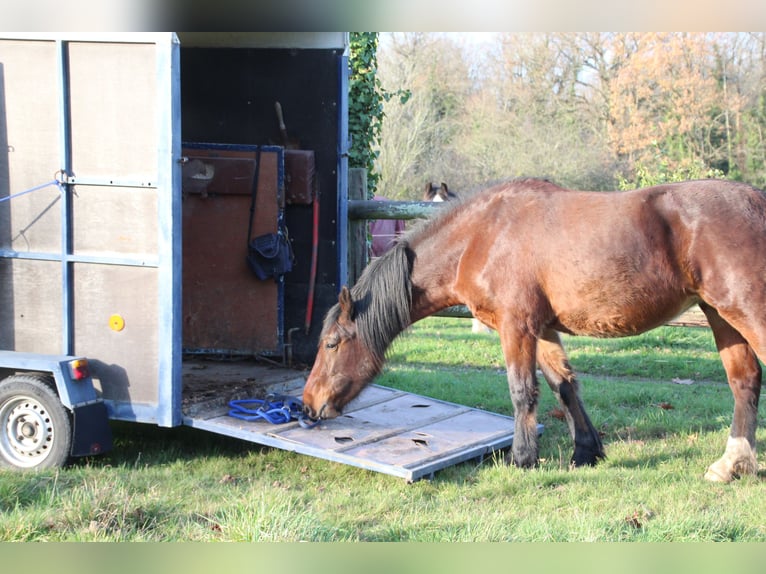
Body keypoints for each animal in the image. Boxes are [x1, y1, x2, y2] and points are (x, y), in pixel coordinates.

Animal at [303, 177, 766, 483]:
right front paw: (586, 452)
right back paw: (733, 465)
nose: (308, 406)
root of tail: (756, 200)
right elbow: (564, 386)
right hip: (719, 314)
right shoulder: (543, 329)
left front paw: (522, 459)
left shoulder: (517, 327)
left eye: (331, 344)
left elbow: (522, 391)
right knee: (744, 381)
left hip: (744, 310)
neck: (482, 236)